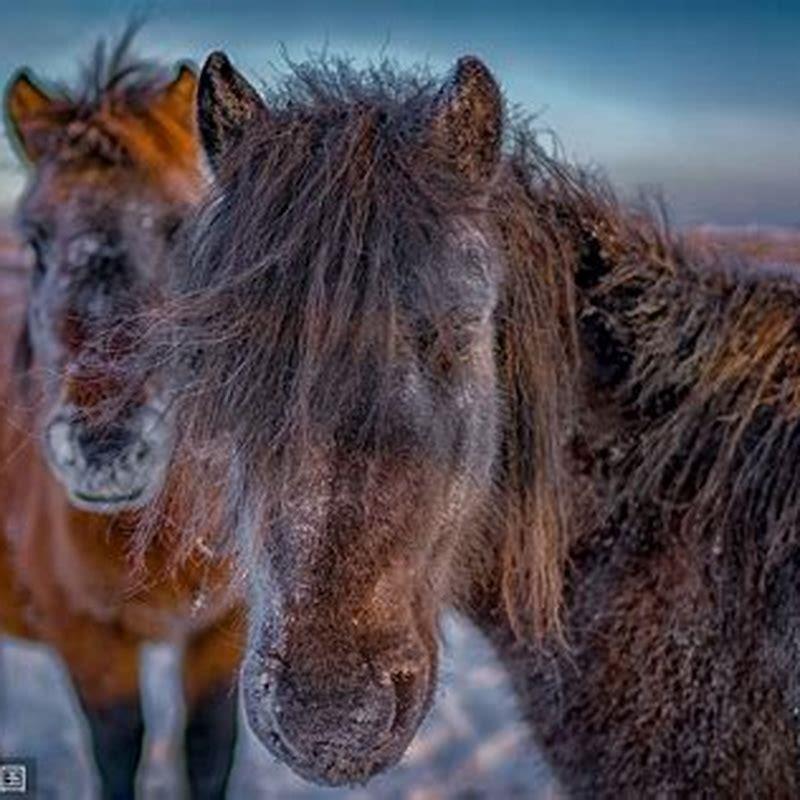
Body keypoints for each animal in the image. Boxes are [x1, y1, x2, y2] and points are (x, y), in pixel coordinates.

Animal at [0, 34, 244, 799]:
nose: (105, 449)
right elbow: (117, 753)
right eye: (37, 241)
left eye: (179, 228)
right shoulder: (87, 640)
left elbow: (208, 750)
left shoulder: (222, 632)